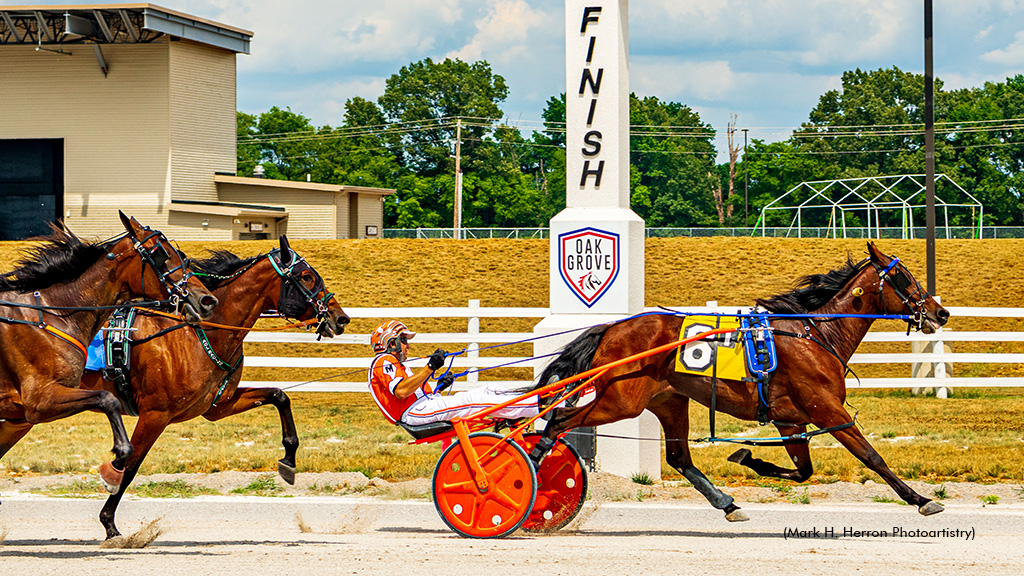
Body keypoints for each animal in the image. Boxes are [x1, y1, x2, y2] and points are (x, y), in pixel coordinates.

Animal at [1, 213, 218, 491]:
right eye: (161, 253)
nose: (206, 300)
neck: (51, 313)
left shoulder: (19, 416)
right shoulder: (40, 401)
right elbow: (108, 399)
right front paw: (117, 463)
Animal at [74, 234, 350, 537]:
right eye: (307, 277)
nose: (340, 318)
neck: (195, 333)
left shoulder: (218, 406)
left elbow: (279, 396)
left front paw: (289, 459)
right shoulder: (154, 415)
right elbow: (130, 466)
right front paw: (109, 523)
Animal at [536, 241, 950, 520]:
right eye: (902, 277)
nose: (940, 312)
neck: (815, 335)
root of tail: (611, 327)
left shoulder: (791, 420)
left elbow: (803, 471)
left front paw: (749, 457)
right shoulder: (828, 411)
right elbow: (871, 456)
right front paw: (921, 499)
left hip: (668, 400)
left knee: (679, 457)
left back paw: (727, 503)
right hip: (620, 400)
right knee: (557, 422)